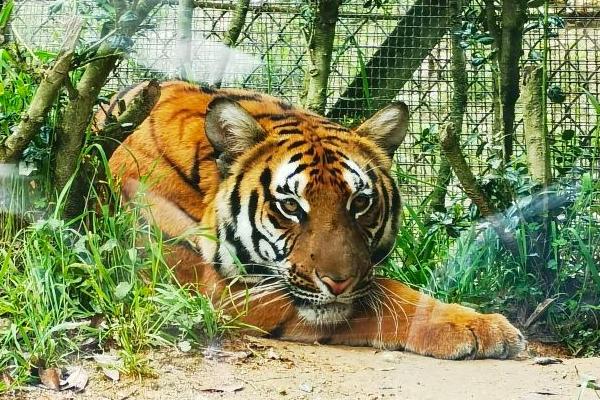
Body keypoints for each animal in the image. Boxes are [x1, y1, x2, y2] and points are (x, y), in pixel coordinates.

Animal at [101, 81, 528, 360]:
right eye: (291, 205)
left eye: (360, 202)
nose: (339, 283)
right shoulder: (215, 288)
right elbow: (388, 296)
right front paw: (481, 328)